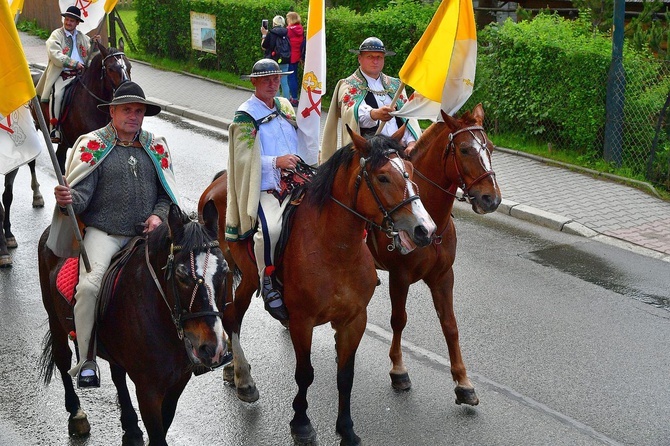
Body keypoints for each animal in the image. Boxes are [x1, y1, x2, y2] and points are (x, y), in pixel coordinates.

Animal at [39, 203, 235, 446]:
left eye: (225, 271)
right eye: (181, 275)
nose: (213, 348)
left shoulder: (179, 381)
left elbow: (164, 423)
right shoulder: (147, 389)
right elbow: (158, 436)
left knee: (117, 374)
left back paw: (130, 427)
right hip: (55, 320)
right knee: (63, 359)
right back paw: (76, 415)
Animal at [200, 127, 438, 444]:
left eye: (410, 171)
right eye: (383, 177)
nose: (425, 229)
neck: (335, 249)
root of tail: (220, 180)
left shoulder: (354, 320)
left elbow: (345, 376)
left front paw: (346, 428)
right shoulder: (303, 321)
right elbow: (305, 374)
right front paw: (301, 423)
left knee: (230, 314)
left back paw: (232, 371)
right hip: (242, 274)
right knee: (231, 317)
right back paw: (244, 380)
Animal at [368, 106, 504, 406]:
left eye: (490, 147)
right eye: (464, 150)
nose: (491, 199)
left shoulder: (443, 276)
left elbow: (450, 325)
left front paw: (463, 383)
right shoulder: (399, 277)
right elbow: (399, 319)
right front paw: (398, 370)